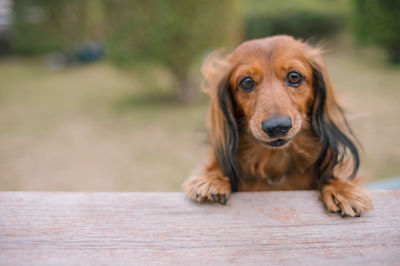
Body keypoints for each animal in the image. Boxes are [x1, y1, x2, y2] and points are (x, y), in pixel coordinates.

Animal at [183, 34, 374, 216]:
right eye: (246, 82)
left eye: (294, 77)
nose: (277, 127)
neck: (275, 165)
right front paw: (212, 180)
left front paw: (341, 190)